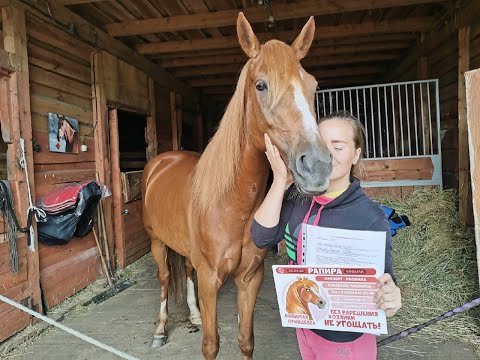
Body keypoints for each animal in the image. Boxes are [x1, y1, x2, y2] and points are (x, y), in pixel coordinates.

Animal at [142, 11, 334, 360]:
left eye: (313, 85)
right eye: (261, 85)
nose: (317, 166)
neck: (231, 203)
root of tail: (161, 162)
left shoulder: (250, 278)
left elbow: (246, 341)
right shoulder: (210, 279)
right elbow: (211, 344)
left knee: (185, 271)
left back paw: (192, 315)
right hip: (156, 242)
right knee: (164, 279)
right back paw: (160, 330)